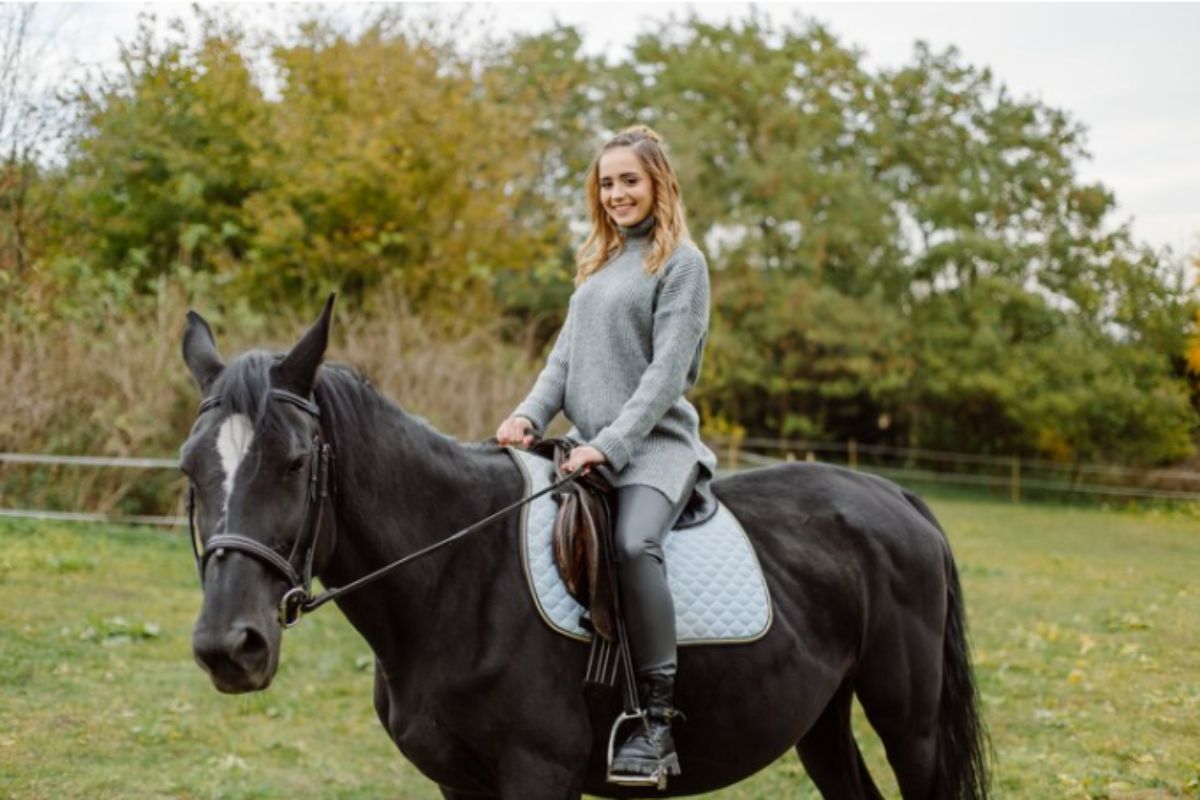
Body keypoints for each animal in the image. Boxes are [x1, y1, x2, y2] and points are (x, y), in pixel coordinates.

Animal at [177, 298, 984, 800]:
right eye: (189, 469)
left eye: (294, 463)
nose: (229, 647)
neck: (455, 581)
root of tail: (896, 498)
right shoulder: (457, 781)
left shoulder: (539, 773)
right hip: (821, 720)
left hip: (909, 724)